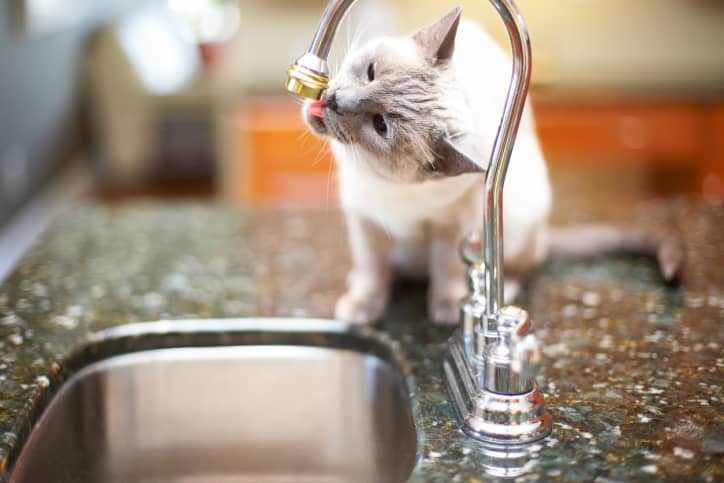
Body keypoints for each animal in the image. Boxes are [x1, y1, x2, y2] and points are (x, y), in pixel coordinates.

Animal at [300, 4, 684, 326]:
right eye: (370, 72)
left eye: (380, 125)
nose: (335, 101)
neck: (382, 187)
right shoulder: (365, 219)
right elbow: (372, 270)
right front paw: (361, 308)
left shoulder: (451, 225)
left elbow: (445, 268)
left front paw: (446, 311)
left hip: (514, 216)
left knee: (516, 267)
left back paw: (501, 292)